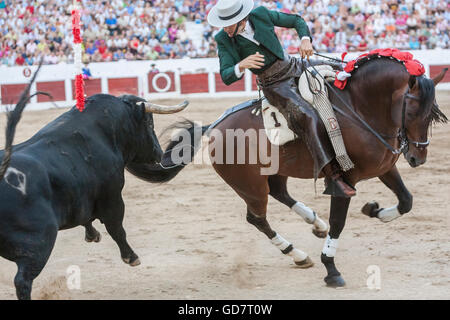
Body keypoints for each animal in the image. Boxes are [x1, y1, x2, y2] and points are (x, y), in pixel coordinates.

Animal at [0, 74, 187, 298]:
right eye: (149, 124)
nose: (159, 153)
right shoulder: (113, 197)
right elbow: (117, 228)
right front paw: (131, 257)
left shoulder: (81, 197)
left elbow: (86, 217)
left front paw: (93, 235)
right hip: (39, 242)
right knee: (23, 280)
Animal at [128, 57, 448, 288]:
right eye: (412, 111)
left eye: (433, 114)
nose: (417, 157)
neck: (359, 108)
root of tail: (213, 127)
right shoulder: (345, 181)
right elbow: (339, 222)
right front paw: (331, 269)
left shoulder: (385, 167)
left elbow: (406, 201)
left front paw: (374, 210)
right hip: (249, 186)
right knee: (257, 217)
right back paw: (297, 252)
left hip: (275, 172)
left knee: (280, 193)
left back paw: (314, 225)